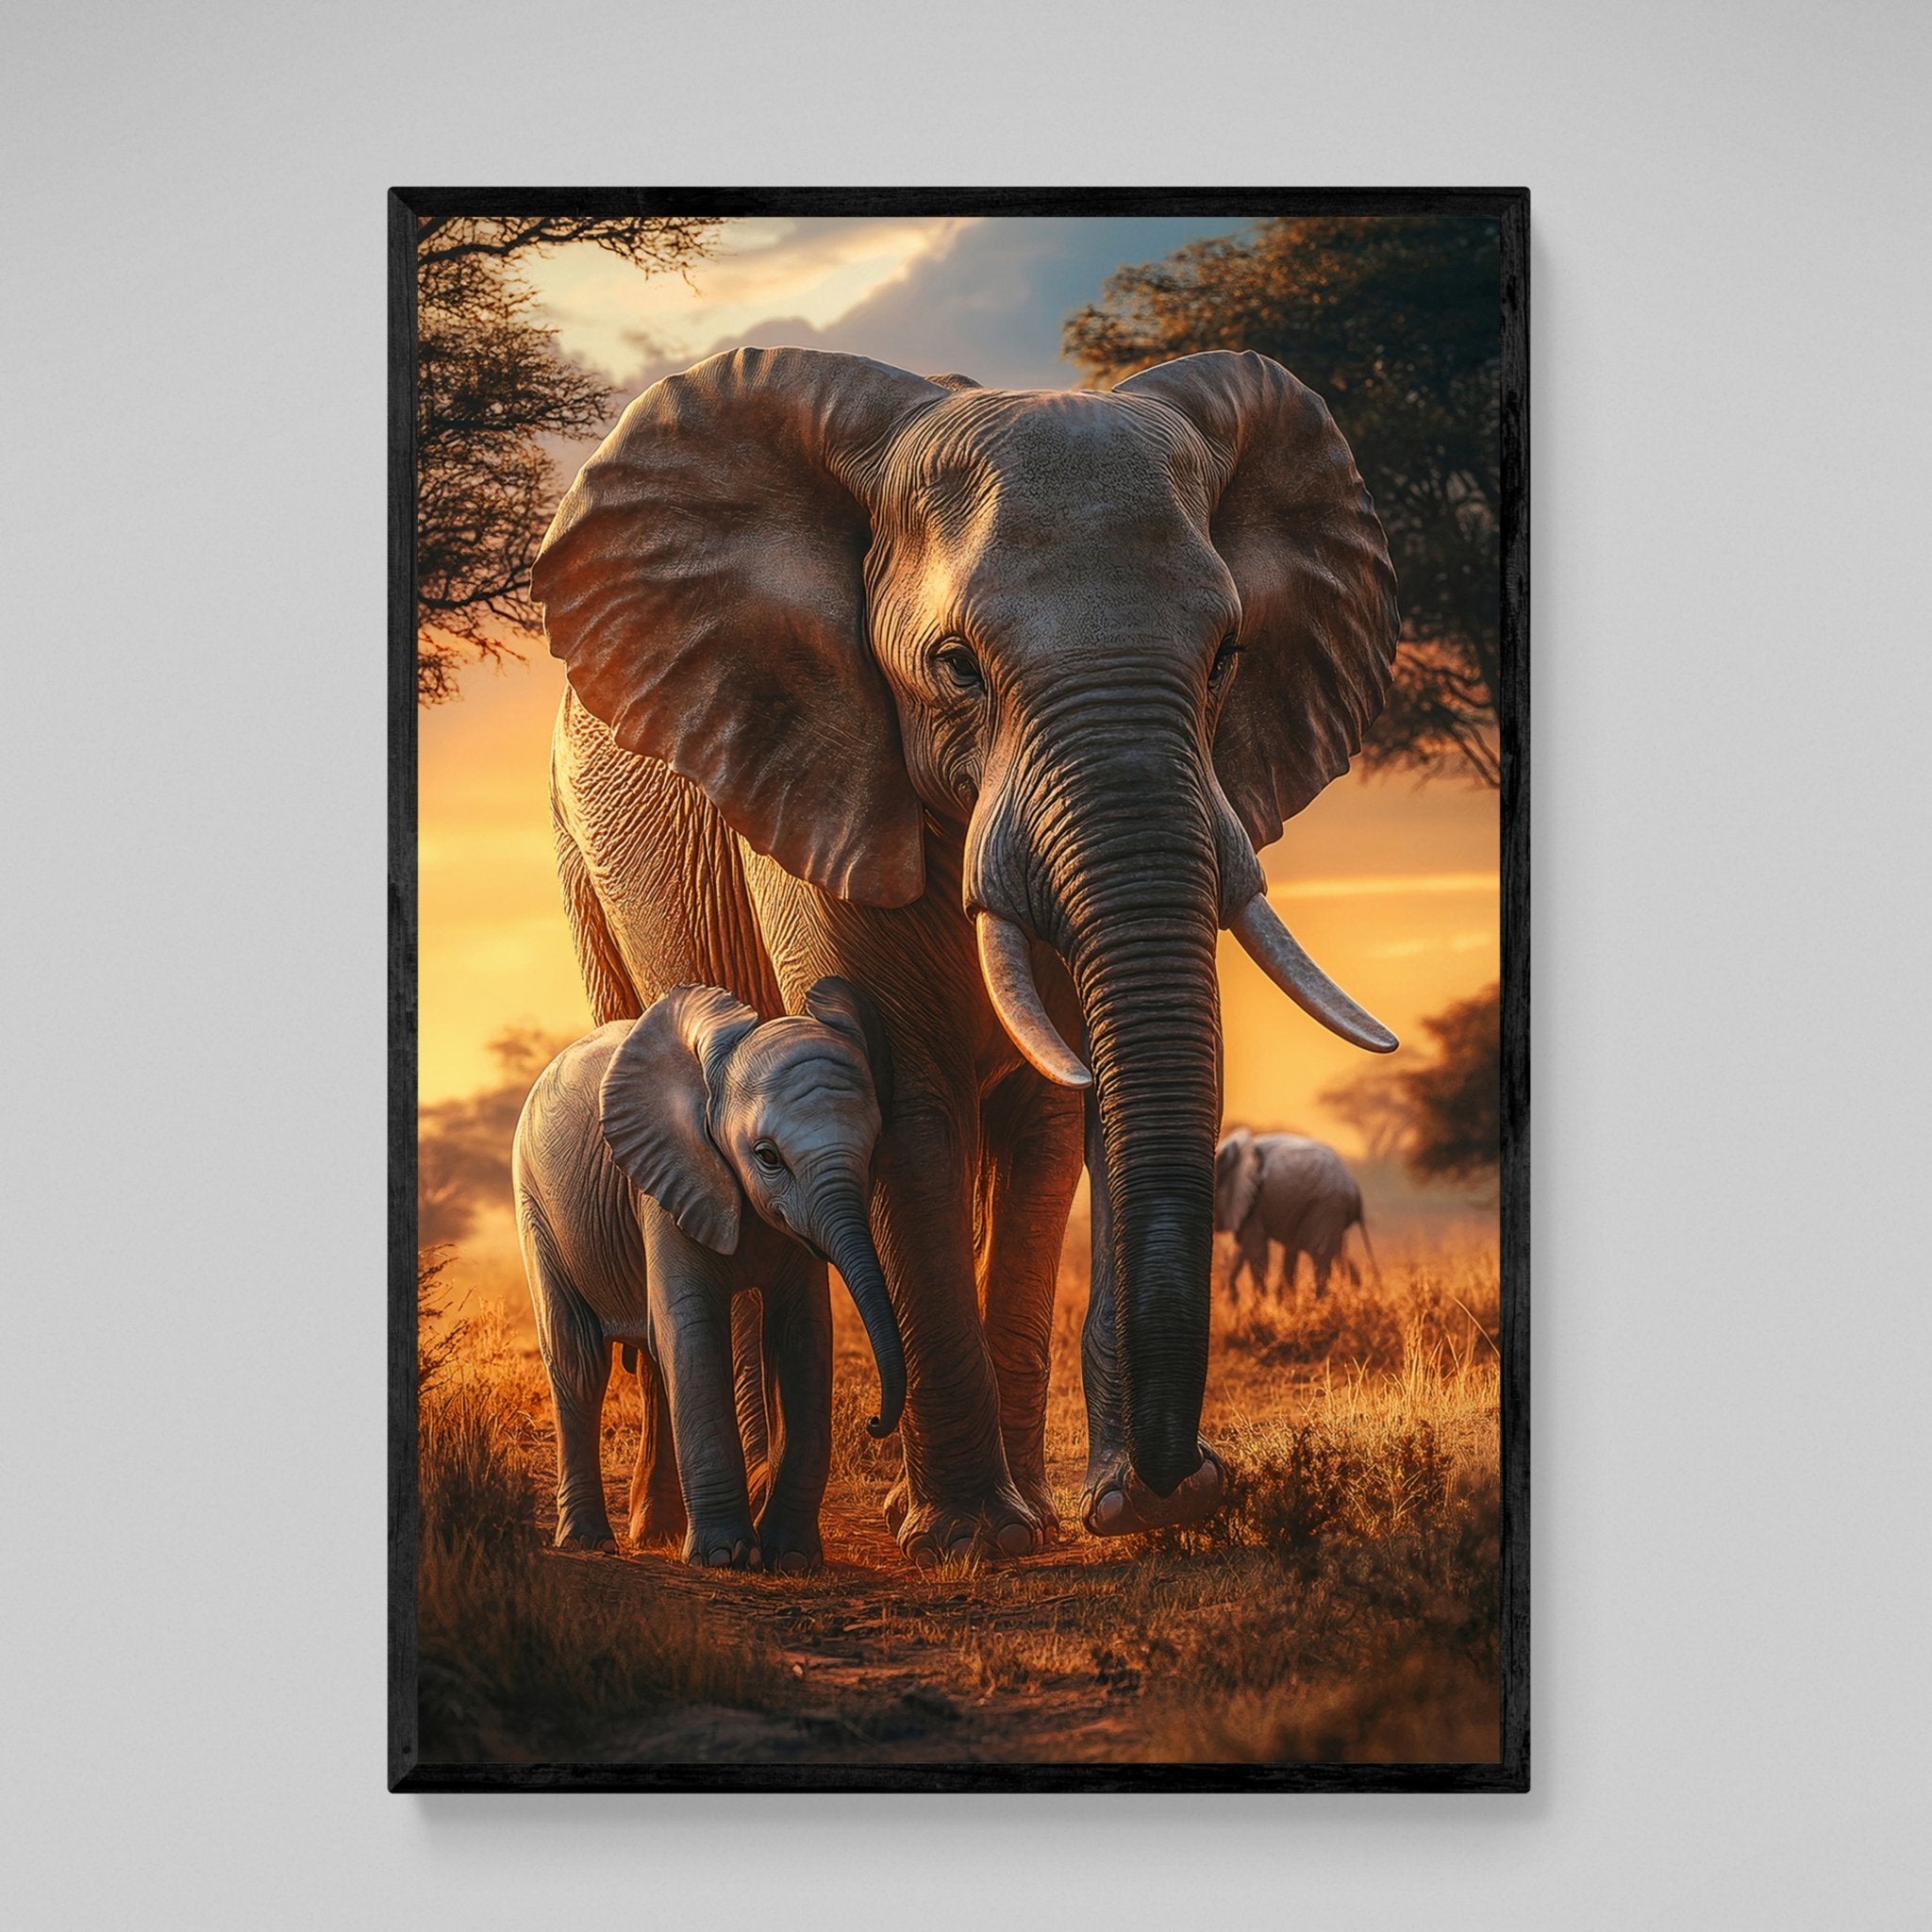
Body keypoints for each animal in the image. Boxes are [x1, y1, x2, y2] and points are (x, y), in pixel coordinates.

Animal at [511, 977, 903, 1572]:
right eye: (767, 1157)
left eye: (875, 1144)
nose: (875, 1422)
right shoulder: (666, 1178)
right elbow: (694, 1332)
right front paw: (724, 1556)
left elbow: (804, 1335)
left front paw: (790, 1558)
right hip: (536, 1203)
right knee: (579, 1362)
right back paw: (587, 1542)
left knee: (652, 1360)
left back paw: (656, 1534)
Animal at [1213, 1128, 1379, 1299]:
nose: (1231, 1292)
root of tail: (1356, 1190)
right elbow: (1244, 1248)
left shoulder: (1253, 1201)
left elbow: (1256, 1249)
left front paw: (1258, 1303)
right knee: (1333, 1254)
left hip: (1328, 1207)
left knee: (1320, 1259)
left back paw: (1319, 1304)